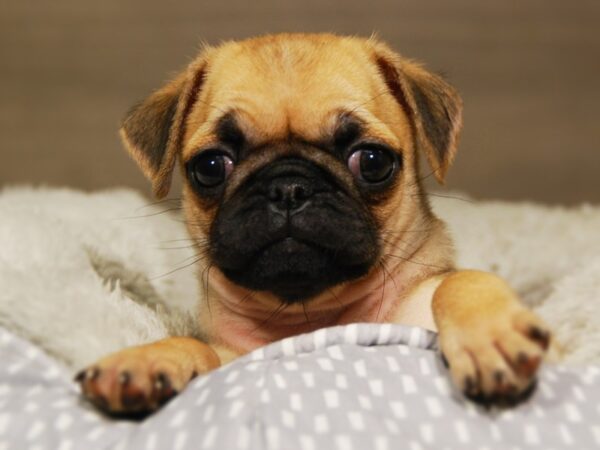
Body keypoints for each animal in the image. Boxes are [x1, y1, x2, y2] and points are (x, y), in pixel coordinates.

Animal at [77, 34, 552, 414]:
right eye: (211, 167)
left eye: (373, 161)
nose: (289, 187)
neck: (308, 316)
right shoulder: (232, 357)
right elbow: (196, 346)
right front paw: (146, 359)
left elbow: (460, 282)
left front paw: (489, 335)